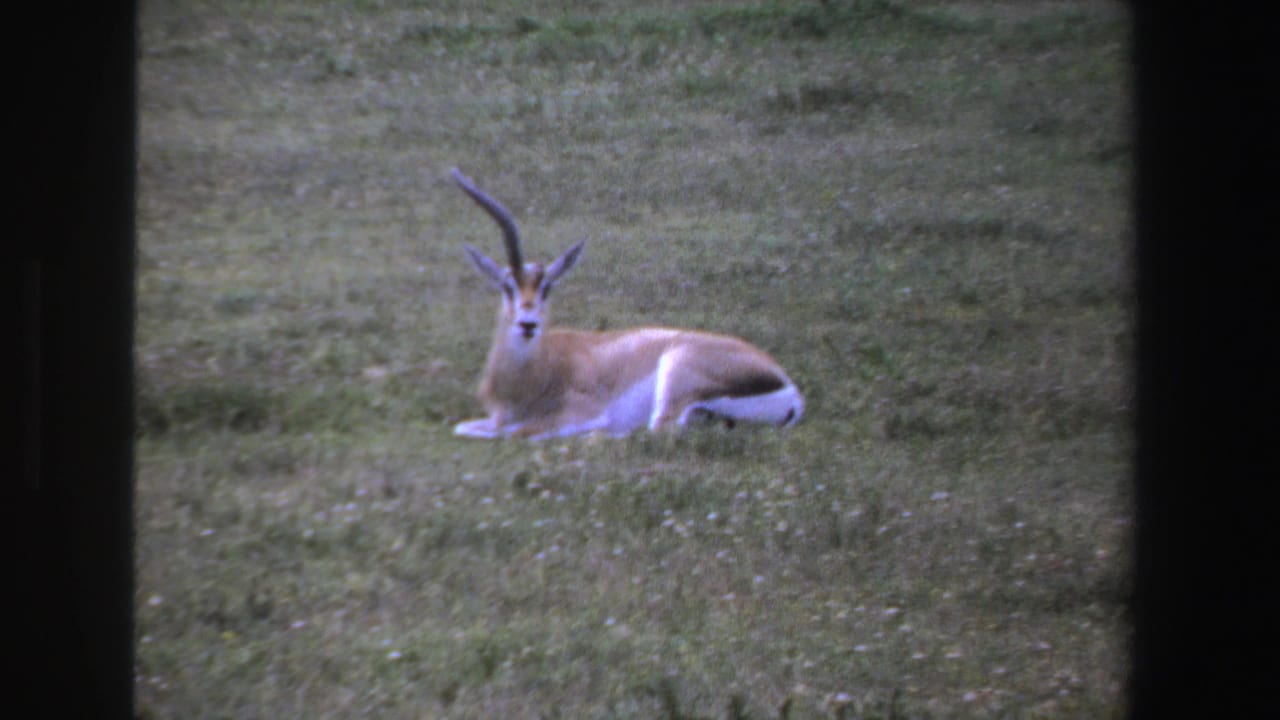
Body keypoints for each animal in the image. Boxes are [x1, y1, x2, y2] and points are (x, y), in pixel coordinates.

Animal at [450, 168, 803, 440]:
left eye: (547, 287)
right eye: (507, 286)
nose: (528, 324)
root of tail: (787, 385)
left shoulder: (583, 411)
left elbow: (515, 433)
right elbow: (465, 428)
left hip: (674, 372)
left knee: (657, 430)